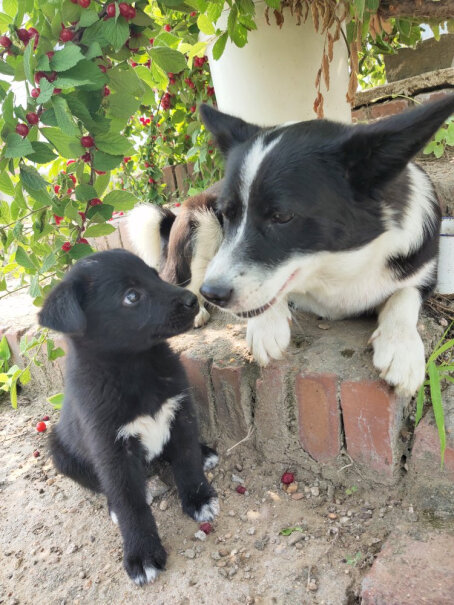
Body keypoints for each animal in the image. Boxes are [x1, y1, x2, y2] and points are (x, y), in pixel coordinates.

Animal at [39, 248, 220, 584]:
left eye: (155, 274)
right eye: (131, 296)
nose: (192, 299)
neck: (137, 368)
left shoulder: (181, 412)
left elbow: (186, 459)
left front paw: (199, 498)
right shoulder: (111, 449)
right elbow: (129, 503)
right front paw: (142, 554)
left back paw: (204, 453)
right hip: (60, 453)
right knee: (103, 485)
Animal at [127, 96, 454, 394]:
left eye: (282, 216)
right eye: (226, 214)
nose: (214, 294)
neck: (335, 268)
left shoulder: (422, 273)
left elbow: (404, 296)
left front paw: (401, 347)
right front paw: (266, 325)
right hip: (201, 223)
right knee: (180, 279)